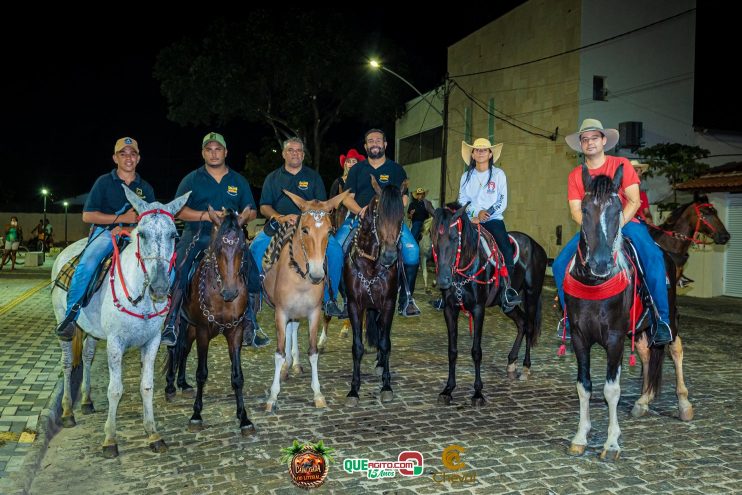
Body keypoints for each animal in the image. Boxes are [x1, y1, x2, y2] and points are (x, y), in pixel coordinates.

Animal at [167, 207, 258, 436]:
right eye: (218, 249)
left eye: (242, 247)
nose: (231, 292)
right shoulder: (203, 331)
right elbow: (201, 373)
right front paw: (196, 415)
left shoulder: (235, 331)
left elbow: (237, 377)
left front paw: (244, 418)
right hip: (179, 323)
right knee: (172, 348)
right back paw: (170, 386)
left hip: (189, 326)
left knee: (183, 349)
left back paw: (183, 384)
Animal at [264, 188, 352, 412]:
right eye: (304, 230)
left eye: (329, 231)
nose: (317, 274)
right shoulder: (280, 312)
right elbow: (278, 353)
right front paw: (272, 396)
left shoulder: (314, 313)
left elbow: (313, 352)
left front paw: (318, 394)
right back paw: (286, 367)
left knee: (293, 329)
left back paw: (293, 363)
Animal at [344, 178, 404, 406]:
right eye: (378, 215)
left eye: (402, 217)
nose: (389, 256)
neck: (370, 265)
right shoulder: (354, 305)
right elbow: (357, 347)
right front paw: (354, 389)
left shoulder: (388, 304)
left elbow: (386, 343)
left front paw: (386, 386)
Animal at [430, 202, 548, 406]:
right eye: (433, 235)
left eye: (454, 238)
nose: (443, 280)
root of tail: (536, 245)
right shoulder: (450, 310)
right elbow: (452, 351)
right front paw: (448, 389)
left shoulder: (478, 310)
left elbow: (476, 351)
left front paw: (478, 393)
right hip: (507, 304)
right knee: (522, 323)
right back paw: (511, 363)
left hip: (532, 295)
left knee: (530, 326)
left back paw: (525, 368)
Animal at [564, 167, 676, 462]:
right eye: (585, 208)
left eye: (616, 209)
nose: (601, 263)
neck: (594, 283)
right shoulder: (579, 337)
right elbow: (584, 386)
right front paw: (581, 436)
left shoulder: (614, 338)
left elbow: (611, 389)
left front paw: (611, 443)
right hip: (639, 328)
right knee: (648, 355)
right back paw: (642, 402)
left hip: (670, 320)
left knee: (676, 350)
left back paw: (684, 405)